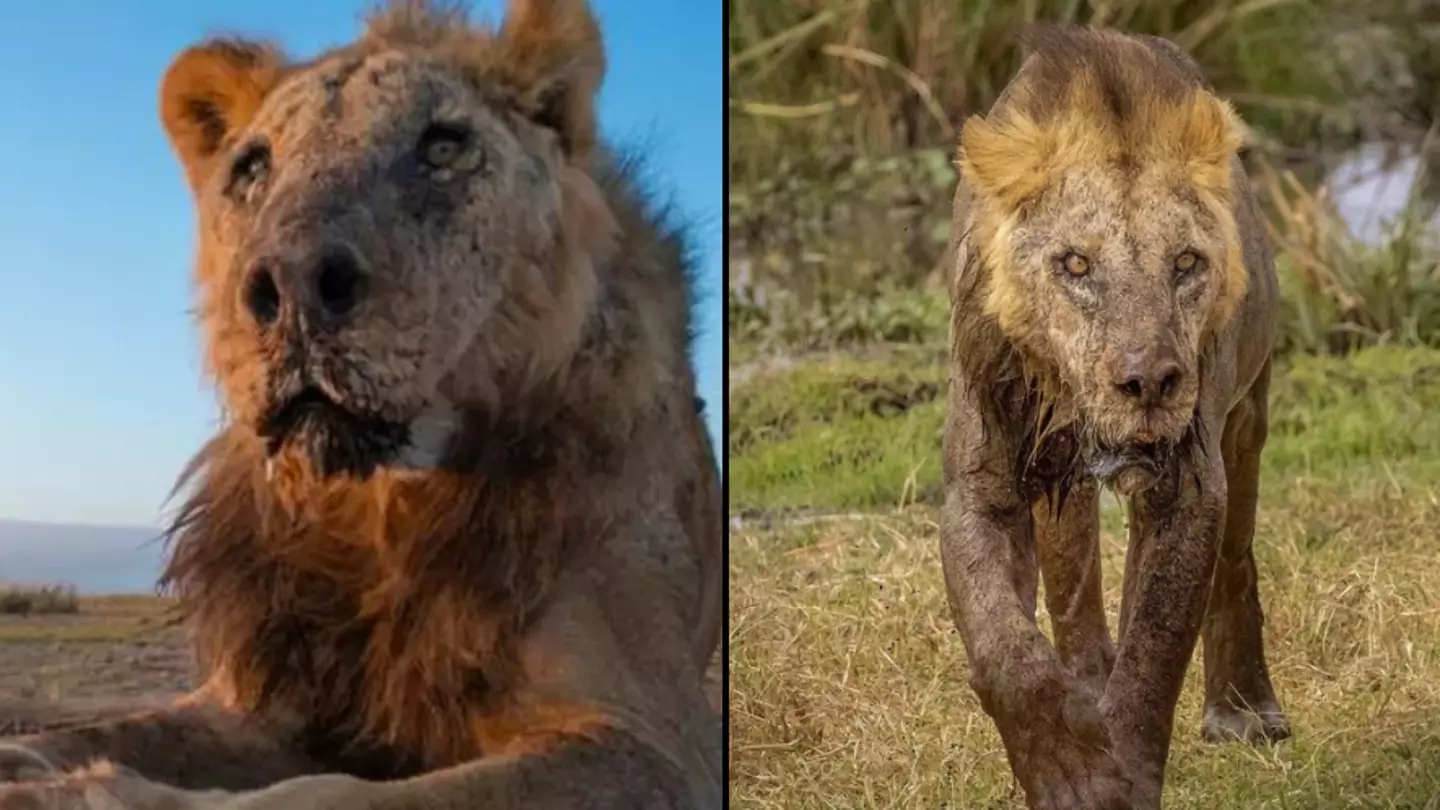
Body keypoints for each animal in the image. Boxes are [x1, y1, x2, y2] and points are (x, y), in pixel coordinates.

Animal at [0, 1, 723, 808]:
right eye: (252, 168)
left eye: (443, 147)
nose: (292, 284)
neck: (376, 508)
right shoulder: (258, 699)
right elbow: (114, 729)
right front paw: (32, 763)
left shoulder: (650, 739)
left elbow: (333, 792)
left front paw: (91, 791)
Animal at [938, 26, 1286, 810]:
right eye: (1075, 265)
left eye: (1185, 263)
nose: (1148, 382)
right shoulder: (981, 486)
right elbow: (1006, 651)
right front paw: (1067, 768)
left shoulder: (1188, 484)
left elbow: (1153, 651)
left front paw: (1117, 773)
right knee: (1074, 589)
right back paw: (1088, 683)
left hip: (1247, 416)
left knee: (1236, 559)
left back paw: (1244, 710)